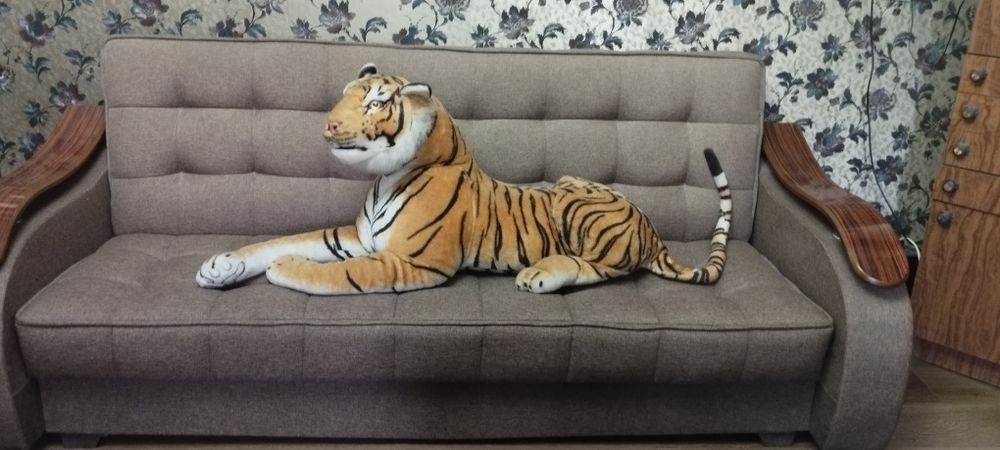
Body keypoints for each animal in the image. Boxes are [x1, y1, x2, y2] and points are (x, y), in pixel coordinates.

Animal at [195, 63, 732, 295]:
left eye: (374, 102)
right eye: (345, 94)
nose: (328, 125)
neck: (386, 178)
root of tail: (652, 229)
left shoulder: (408, 261)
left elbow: (327, 272)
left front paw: (284, 267)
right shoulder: (357, 238)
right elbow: (282, 240)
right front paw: (221, 266)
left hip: (582, 212)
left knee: (597, 268)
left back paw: (540, 275)